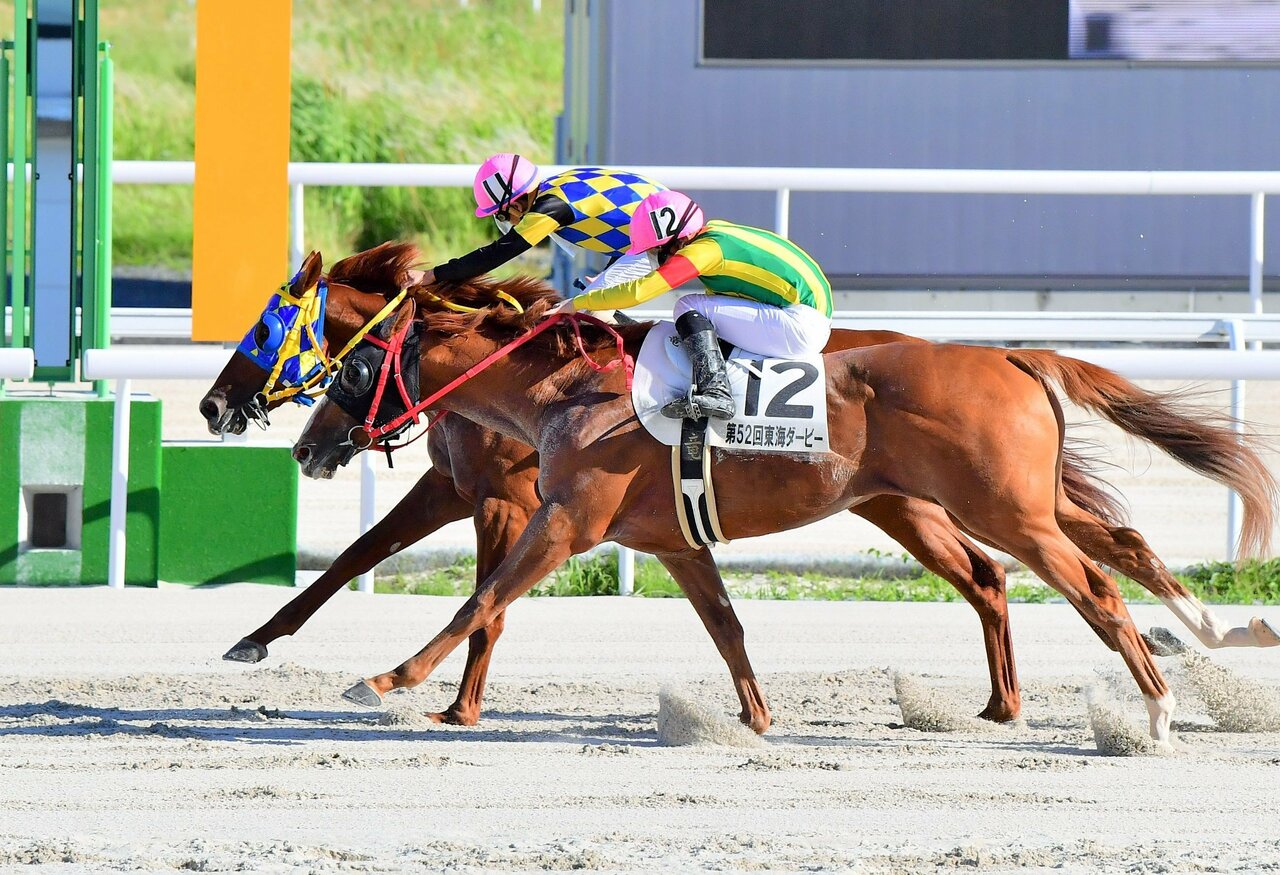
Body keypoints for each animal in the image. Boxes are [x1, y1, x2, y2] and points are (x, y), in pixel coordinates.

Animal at [293, 271, 1280, 736]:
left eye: (349, 368)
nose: (305, 446)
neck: (570, 391)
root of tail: (1007, 352)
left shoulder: (565, 520)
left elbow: (483, 596)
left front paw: (389, 678)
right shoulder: (671, 540)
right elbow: (726, 624)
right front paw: (756, 717)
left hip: (1005, 510)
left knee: (1094, 588)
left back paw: (1158, 710)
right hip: (1001, 503)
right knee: (1120, 542)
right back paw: (1221, 632)